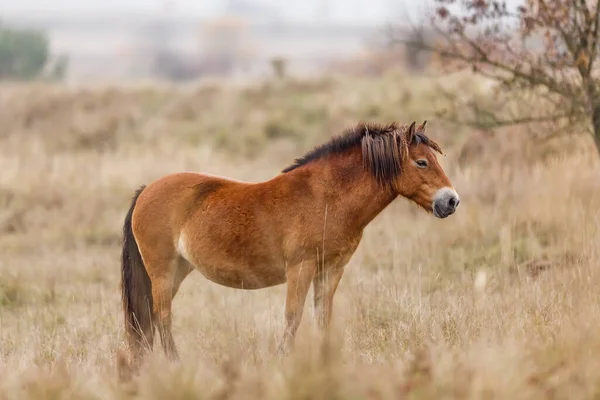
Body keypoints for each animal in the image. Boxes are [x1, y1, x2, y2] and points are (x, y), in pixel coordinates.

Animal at [120, 118, 460, 362]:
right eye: (421, 162)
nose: (451, 201)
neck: (326, 197)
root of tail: (146, 190)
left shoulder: (330, 270)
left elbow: (322, 318)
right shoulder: (301, 268)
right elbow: (293, 318)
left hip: (177, 271)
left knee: (152, 320)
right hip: (163, 272)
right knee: (163, 318)